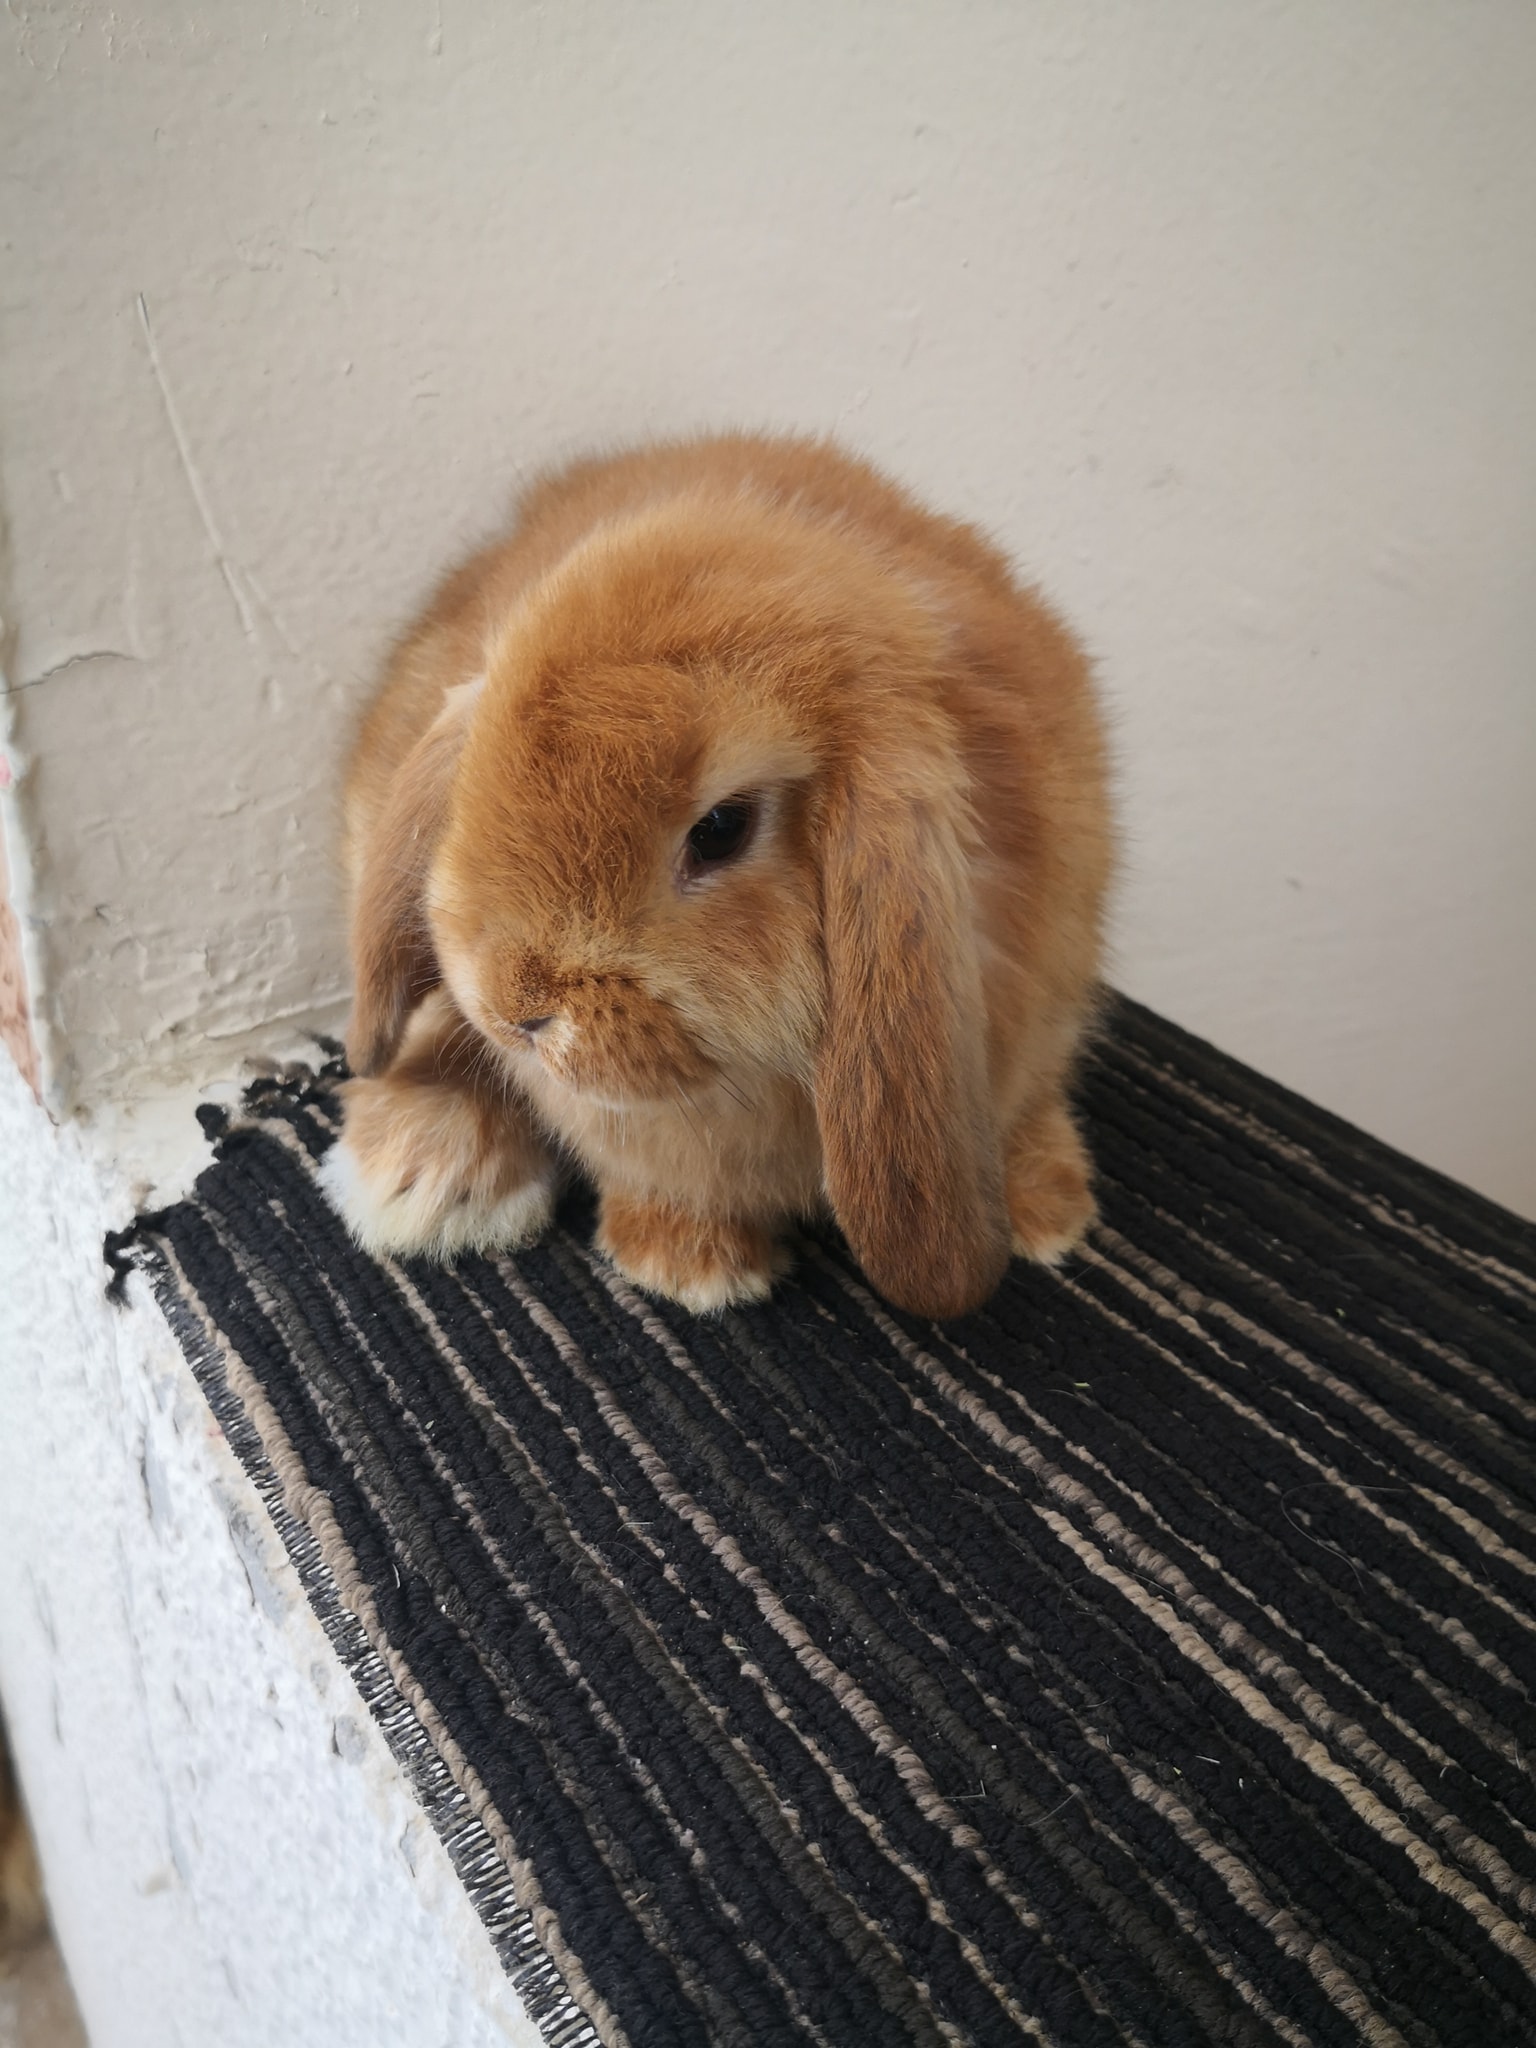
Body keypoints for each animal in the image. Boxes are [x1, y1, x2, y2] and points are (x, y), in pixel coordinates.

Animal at [319, 433, 1114, 1318]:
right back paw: (420, 1179)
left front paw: (1050, 1211)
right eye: (476, 772)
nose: (516, 1009)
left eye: (721, 829)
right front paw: (691, 1270)